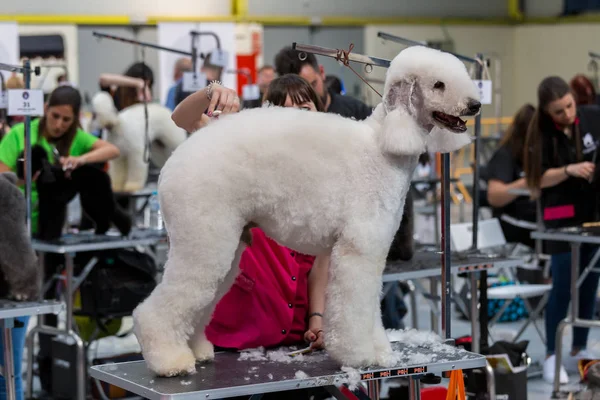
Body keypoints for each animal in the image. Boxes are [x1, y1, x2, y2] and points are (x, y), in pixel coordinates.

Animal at [134, 45, 480, 376]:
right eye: (438, 85)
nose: (475, 105)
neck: (384, 145)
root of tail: (178, 157)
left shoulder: (371, 252)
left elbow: (370, 307)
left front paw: (381, 352)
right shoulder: (359, 250)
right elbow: (355, 308)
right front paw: (360, 355)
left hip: (226, 247)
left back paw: (196, 350)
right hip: (203, 238)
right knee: (158, 308)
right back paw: (169, 360)